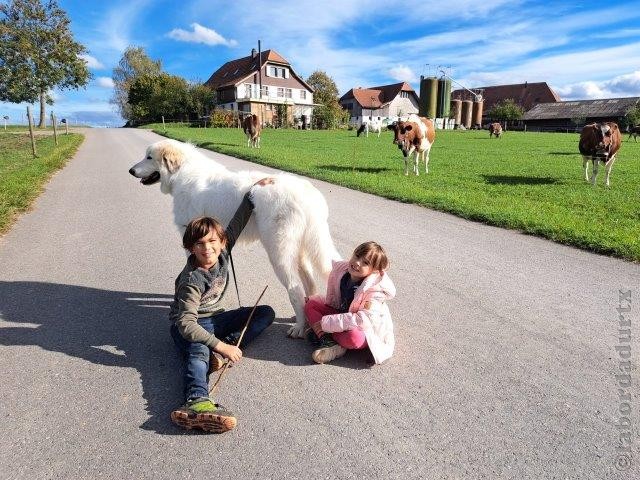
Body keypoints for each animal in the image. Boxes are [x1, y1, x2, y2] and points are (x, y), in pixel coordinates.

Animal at [130, 138, 340, 338]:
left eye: (149, 157)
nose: (131, 171)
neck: (181, 172)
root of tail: (306, 193)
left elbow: (190, 272)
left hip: (279, 252)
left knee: (295, 288)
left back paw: (299, 327)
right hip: (300, 250)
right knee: (310, 283)